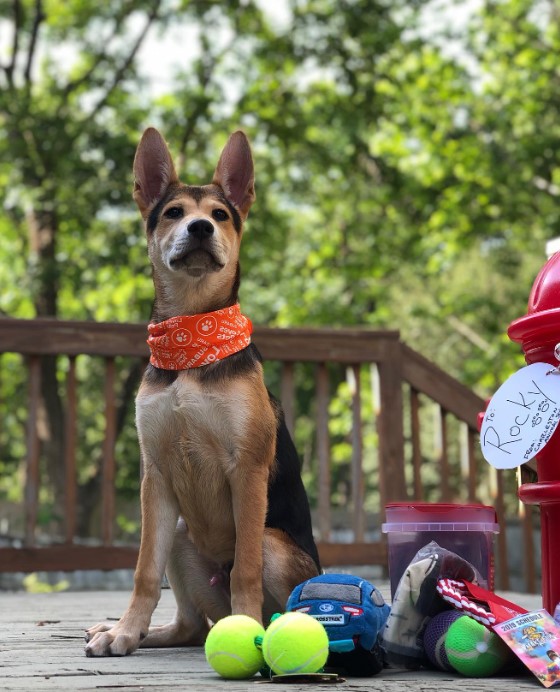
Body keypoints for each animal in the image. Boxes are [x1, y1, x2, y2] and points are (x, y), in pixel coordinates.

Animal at [83, 128, 320, 656]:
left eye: (220, 214)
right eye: (173, 212)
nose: (199, 229)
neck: (192, 340)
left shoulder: (246, 470)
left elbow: (245, 570)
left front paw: (247, 630)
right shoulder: (155, 476)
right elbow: (143, 571)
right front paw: (126, 630)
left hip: (275, 544)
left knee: (271, 600)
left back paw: (263, 624)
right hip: (179, 532)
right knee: (190, 625)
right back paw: (139, 632)